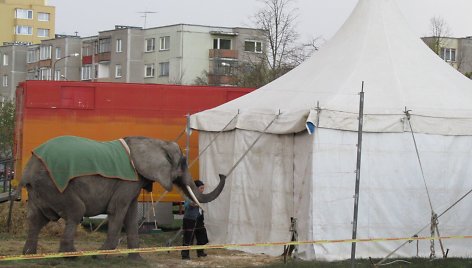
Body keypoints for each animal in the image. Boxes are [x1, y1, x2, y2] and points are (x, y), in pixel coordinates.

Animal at [18, 136, 225, 258]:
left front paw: (136, 258)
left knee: (36, 219)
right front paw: (100, 255)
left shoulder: (134, 182)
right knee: (76, 212)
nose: (222, 174)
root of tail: (29, 168)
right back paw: (72, 255)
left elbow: (131, 215)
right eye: (182, 164)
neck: (156, 143)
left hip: (39, 190)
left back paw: (29, 255)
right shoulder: (127, 183)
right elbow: (118, 210)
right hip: (53, 185)